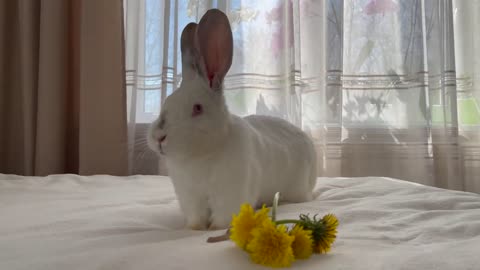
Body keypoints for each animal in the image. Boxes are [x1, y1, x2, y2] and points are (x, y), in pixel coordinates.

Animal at [148, 8, 316, 230]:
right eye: (167, 101)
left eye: (197, 108)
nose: (159, 137)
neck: (200, 155)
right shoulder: (190, 198)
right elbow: (196, 217)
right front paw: (195, 228)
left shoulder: (230, 193)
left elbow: (223, 217)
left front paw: (215, 229)